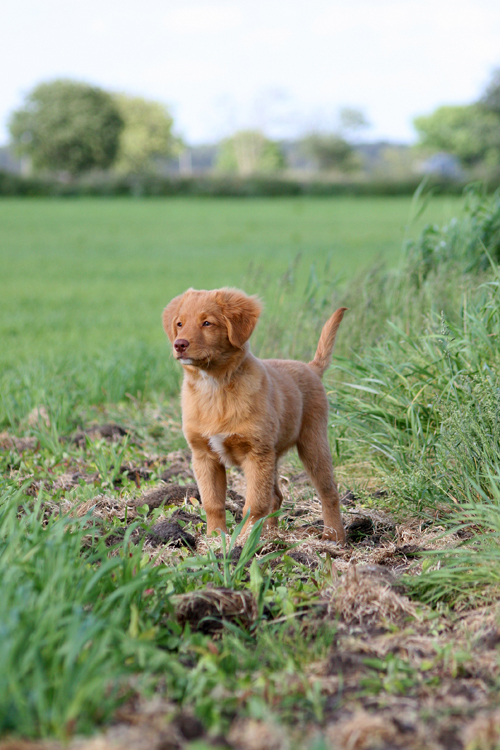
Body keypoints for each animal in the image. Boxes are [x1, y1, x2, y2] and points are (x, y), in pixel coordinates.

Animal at [162, 290, 346, 548]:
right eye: (179, 324)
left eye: (207, 323)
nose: (179, 344)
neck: (215, 387)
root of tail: (311, 367)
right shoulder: (203, 455)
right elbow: (212, 502)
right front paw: (215, 538)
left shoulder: (256, 453)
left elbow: (254, 503)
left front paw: (244, 540)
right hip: (274, 455)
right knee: (276, 496)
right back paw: (270, 535)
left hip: (313, 441)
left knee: (328, 492)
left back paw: (334, 537)